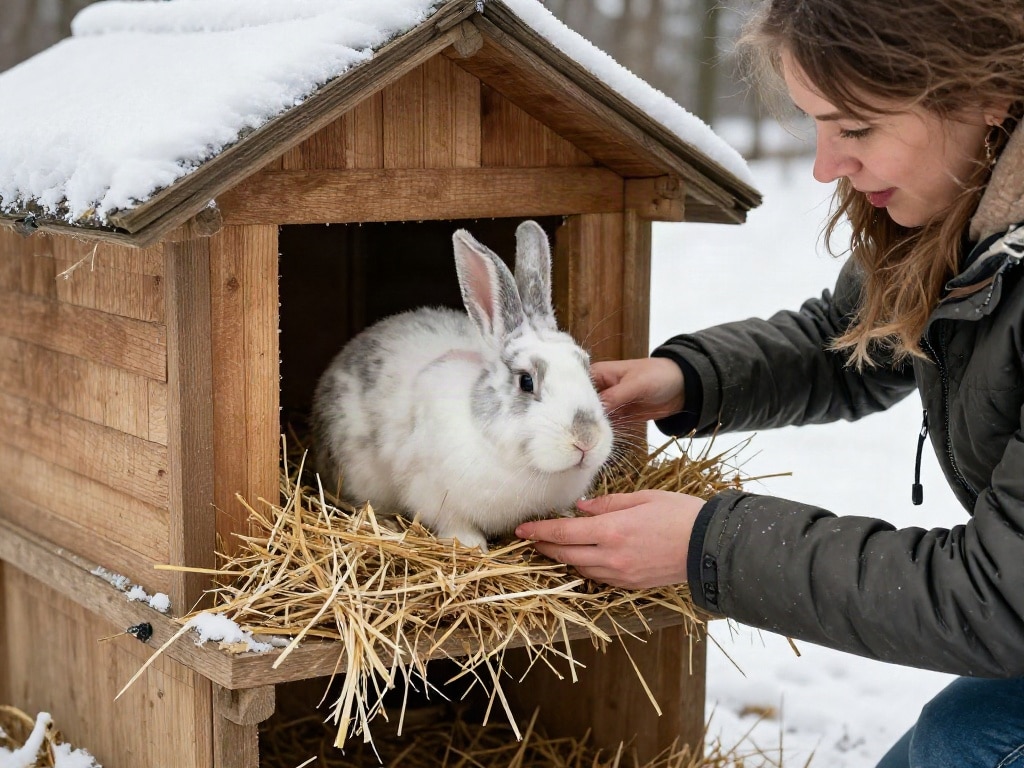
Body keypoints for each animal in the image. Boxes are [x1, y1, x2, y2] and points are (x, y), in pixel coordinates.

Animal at [310, 220, 614, 552]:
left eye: (585, 366)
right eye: (526, 381)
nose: (586, 439)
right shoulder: (431, 492)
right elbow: (455, 524)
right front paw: (471, 546)